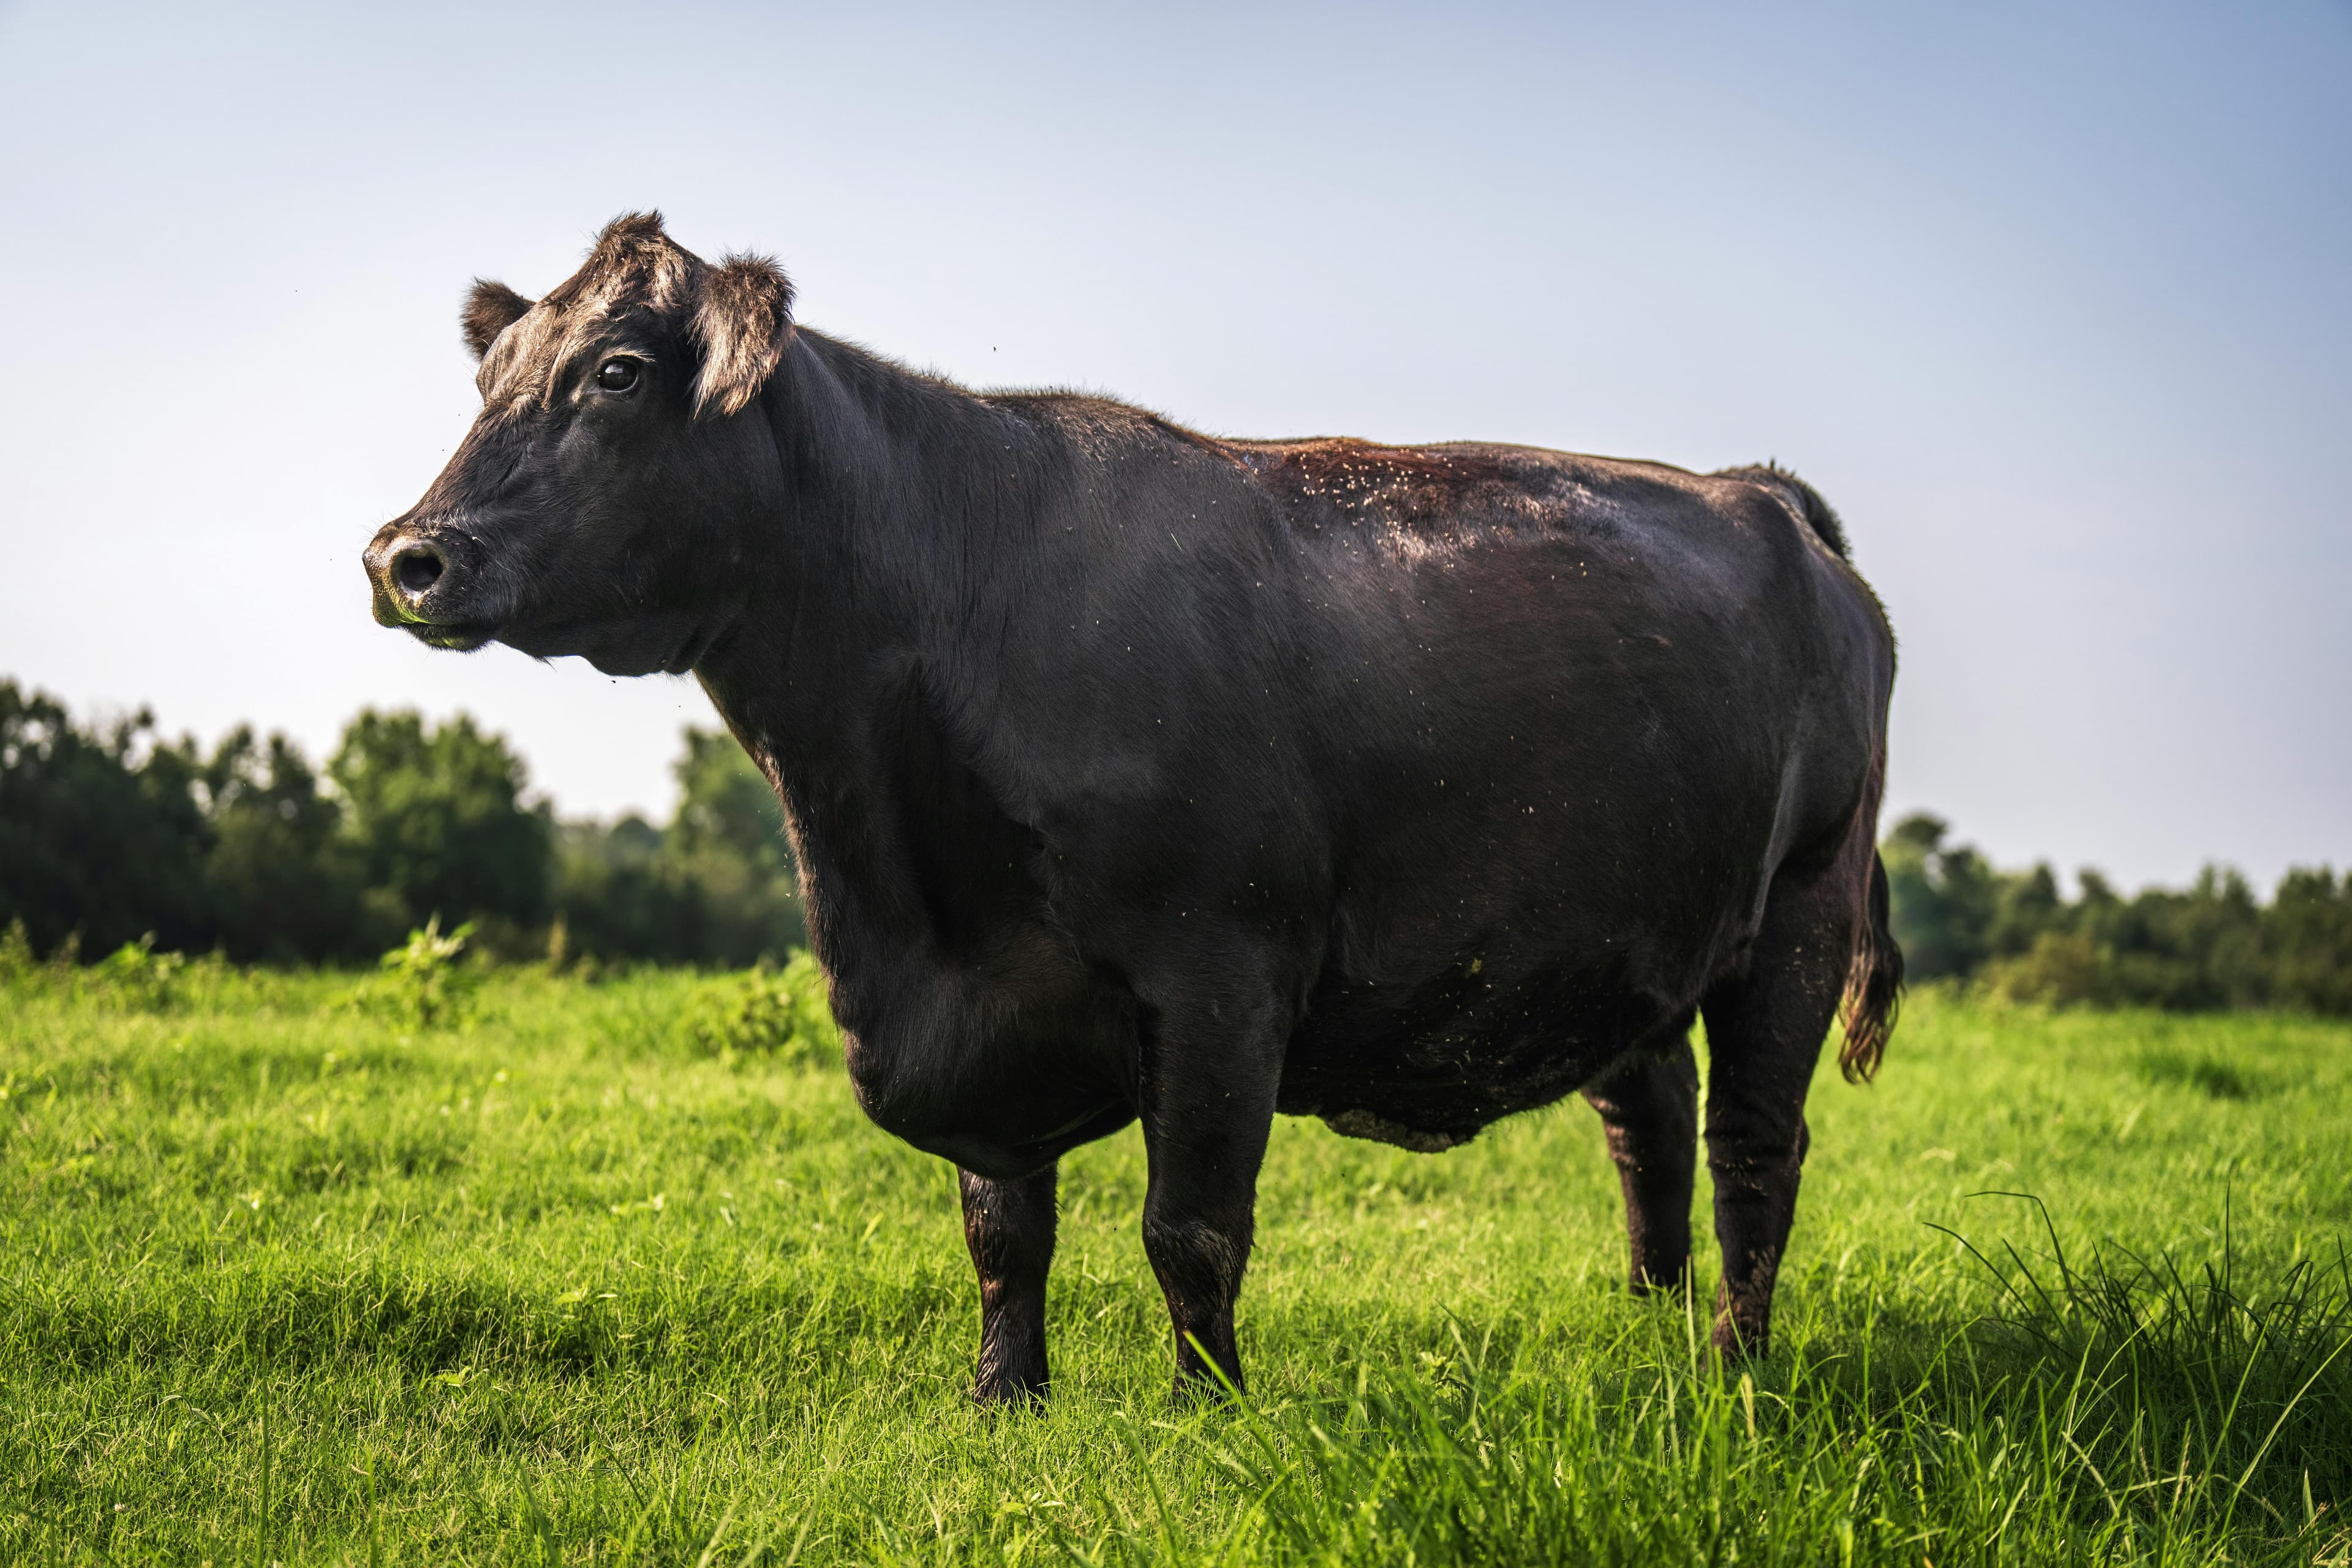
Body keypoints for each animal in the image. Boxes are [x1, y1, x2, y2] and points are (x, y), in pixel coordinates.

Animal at [364, 212, 1902, 1404]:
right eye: (494, 373)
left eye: (618, 371)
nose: (405, 555)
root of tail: (1759, 492)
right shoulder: (982, 1011)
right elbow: (1002, 1227)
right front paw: (1005, 1397)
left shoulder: (1219, 973)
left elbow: (1191, 1226)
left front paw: (1206, 1407)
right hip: (1627, 931)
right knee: (1647, 1119)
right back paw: (1646, 1319)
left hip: (1799, 908)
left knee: (1753, 1147)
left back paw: (1733, 1366)